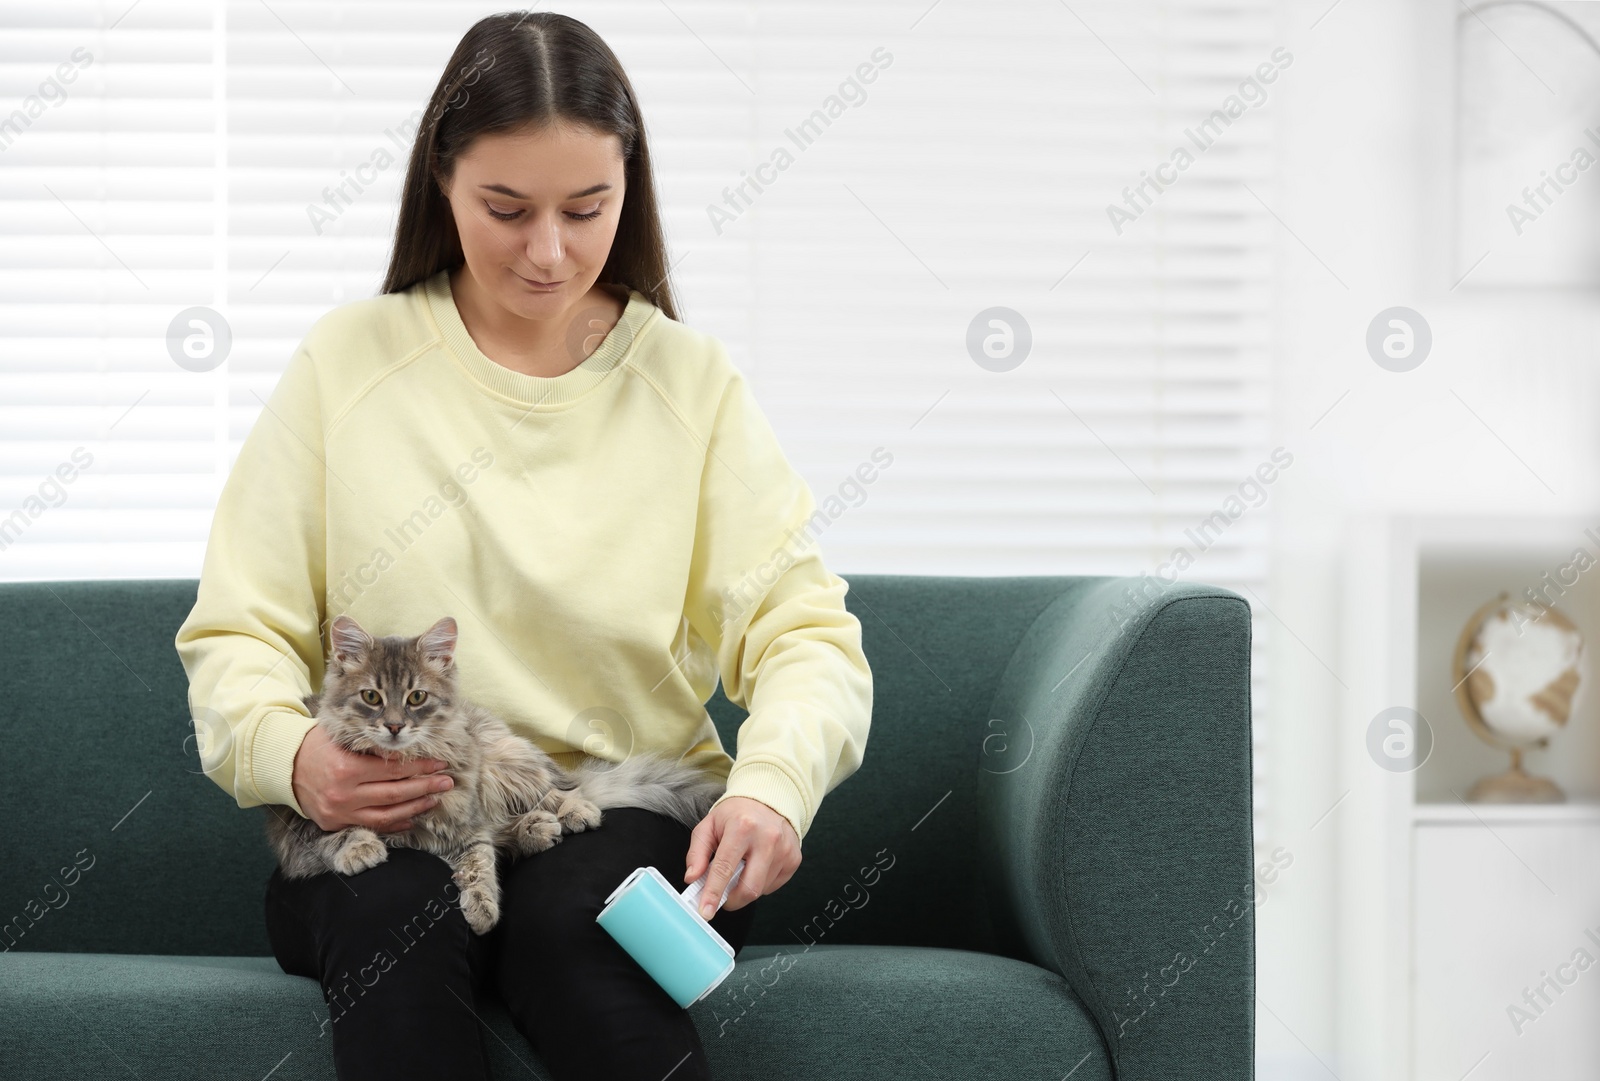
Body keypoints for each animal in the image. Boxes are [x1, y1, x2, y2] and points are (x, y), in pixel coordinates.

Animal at [262, 610, 726, 933]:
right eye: (371, 697)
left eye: (416, 698)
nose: (394, 726)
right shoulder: (300, 821)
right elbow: (335, 832)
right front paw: (361, 848)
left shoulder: (466, 823)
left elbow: (479, 864)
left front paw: (483, 910)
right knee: (509, 828)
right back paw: (538, 829)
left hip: (504, 760)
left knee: (553, 793)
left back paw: (568, 814)